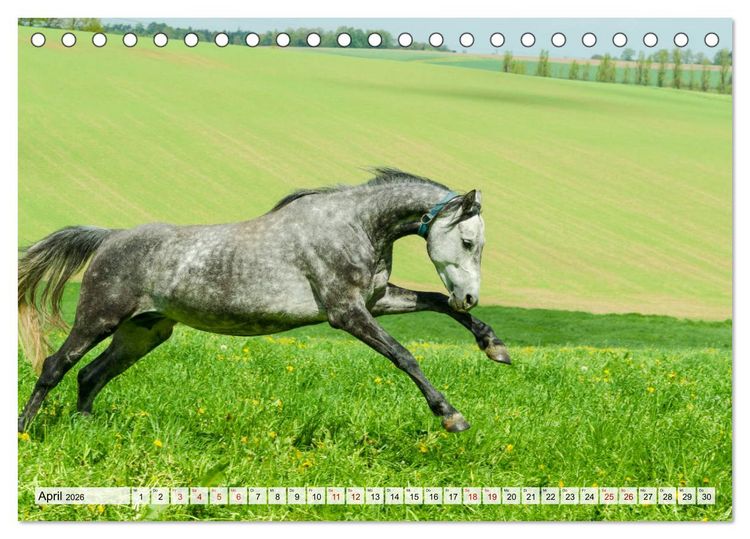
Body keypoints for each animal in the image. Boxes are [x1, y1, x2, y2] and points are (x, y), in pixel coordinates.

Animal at [18, 168, 510, 434]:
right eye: (468, 242)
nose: (470, 296)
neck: (356, 225)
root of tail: (111, 237)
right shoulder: (347, 313)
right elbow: (405, 356)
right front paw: (451, 417)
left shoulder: (376, 301)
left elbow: (436, 302)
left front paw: (495, 347)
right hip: (98, 319)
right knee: (56, 366)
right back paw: (25, 431)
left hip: (143, 333)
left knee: (90, 375)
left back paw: (84, 426)